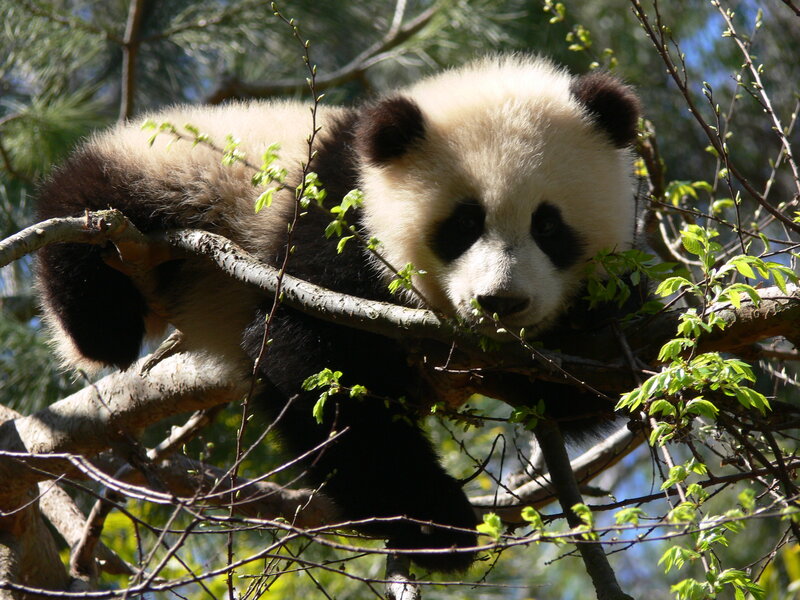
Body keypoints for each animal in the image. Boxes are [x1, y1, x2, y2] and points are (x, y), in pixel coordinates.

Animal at [35, 55, 640, 572]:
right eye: (464, 225)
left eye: (548, 225)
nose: (502, 302)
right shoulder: (333, 224)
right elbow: (317, 360)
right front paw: (433, 521)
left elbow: (577, 393)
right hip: (157, 180)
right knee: (84, 216)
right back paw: (104, 329)